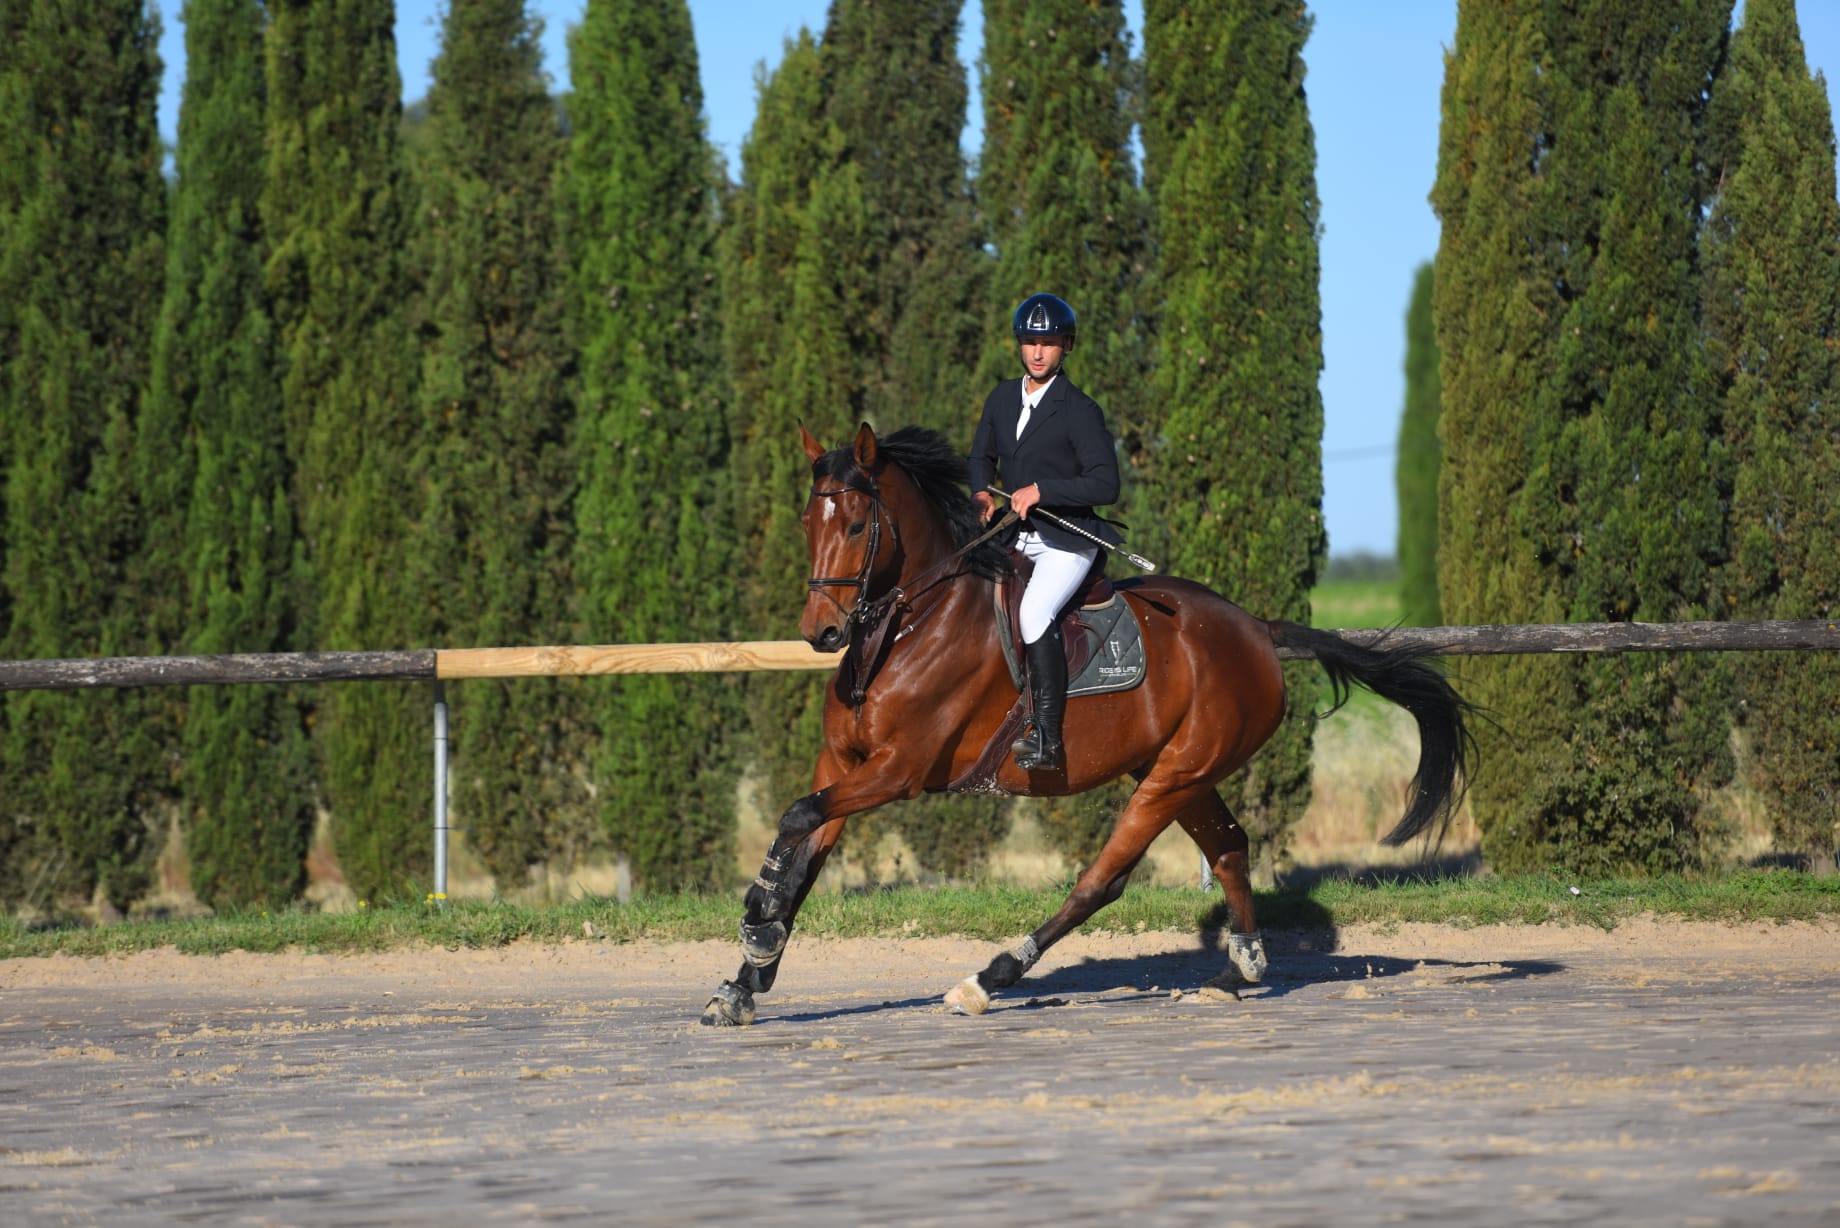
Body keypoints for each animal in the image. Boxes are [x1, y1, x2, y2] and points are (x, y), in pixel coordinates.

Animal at [695, 425, 1472, 1031]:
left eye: (857, 525)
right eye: (807, 522)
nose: (822, 633)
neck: (908, 626)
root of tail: (1256, 629)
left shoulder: (898, 769)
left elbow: (796, 820)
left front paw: (756, 916)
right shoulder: (842, 763)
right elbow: (805, 846)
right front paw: (746, 978)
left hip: (1169, 779)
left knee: (1101, 882)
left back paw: (990, 978)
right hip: (1178, 769)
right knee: (1228, 846)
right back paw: (1241, 968)